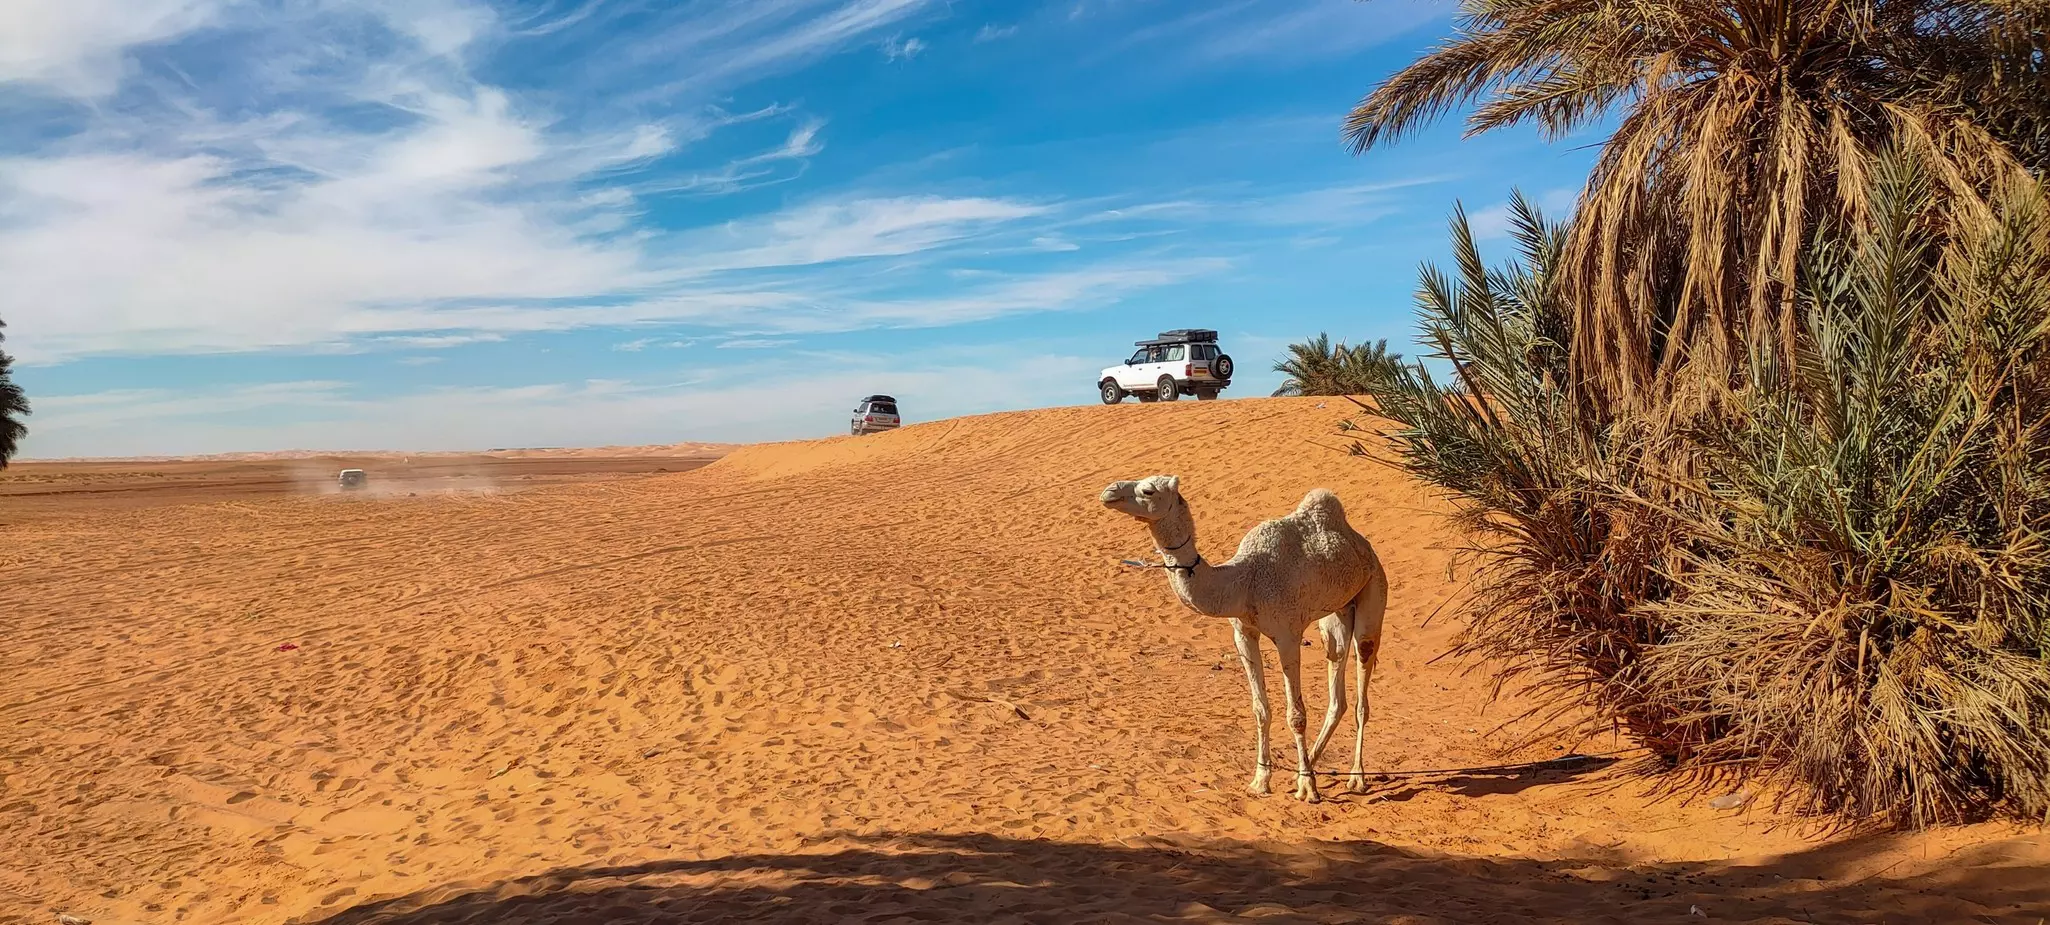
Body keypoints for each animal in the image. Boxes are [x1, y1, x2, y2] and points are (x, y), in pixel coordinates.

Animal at [1101, 475, 1387, 802]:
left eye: (1148, 491)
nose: (1108, 492)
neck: (1243, 581)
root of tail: (1363, 545)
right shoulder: (1243, 633)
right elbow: (1260, 709)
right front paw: (1261, 780)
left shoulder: (1288, 634)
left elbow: (1296, 715)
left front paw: (1308, 789)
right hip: (1335, 615)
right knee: (1337, 681)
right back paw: (1310, 764)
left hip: (1373, 592)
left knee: (1362, 689)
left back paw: (1355, 779)